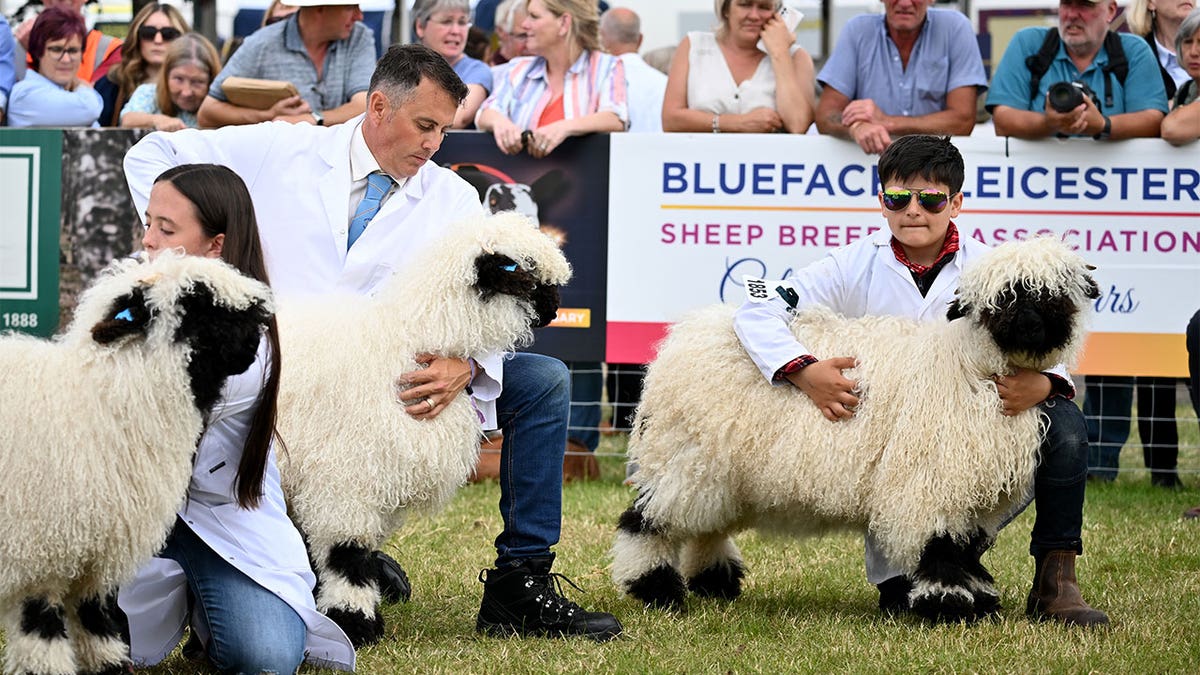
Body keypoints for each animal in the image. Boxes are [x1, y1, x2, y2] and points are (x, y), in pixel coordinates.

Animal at [0, 251, 272, 672]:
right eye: (195, 301)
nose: (258, 335)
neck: (104, 400)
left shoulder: (95, 558)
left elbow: (97, 624)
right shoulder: (38, 554)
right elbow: (42, 638)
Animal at [272, 212, 571, 643]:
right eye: (523, 274)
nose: (554, 311)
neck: (408, 337)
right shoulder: (346, 476)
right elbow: (347, 554)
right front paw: (353, 622)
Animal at [614, 235, 1099, 619]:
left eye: (1055, 293)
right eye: (1004, 297)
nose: (1031, 326)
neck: (969, 365)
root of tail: (687, 333)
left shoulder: (974, 491)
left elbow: (964, 548)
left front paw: (978, 598)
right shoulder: (932, 476)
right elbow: (940, 544)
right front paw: (946, 606)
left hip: (724, 470)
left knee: (707, 524)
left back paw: (714, 582)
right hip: (687, 455)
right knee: (648, 520)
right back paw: (655, 588)